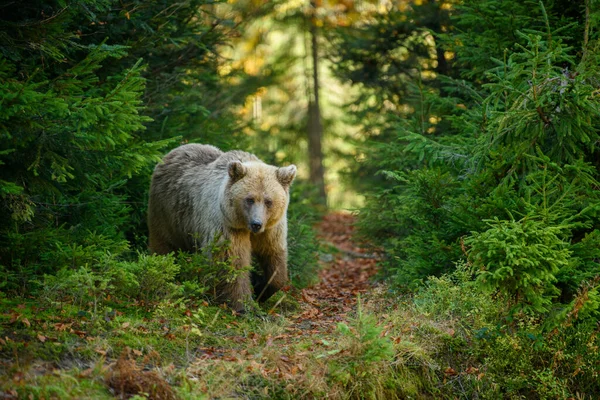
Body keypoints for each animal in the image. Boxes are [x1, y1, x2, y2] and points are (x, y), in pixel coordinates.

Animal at [145, 144, 296, 312]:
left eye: (268, 201)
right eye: (249, 199)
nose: (256, 223)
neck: (245, 226)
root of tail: (174, 151)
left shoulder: (272, 230)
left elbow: (274, 259)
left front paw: (261, 289)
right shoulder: (227, 226)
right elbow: (231, 262)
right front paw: (244, 305)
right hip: (167, 211)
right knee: (164, 243)